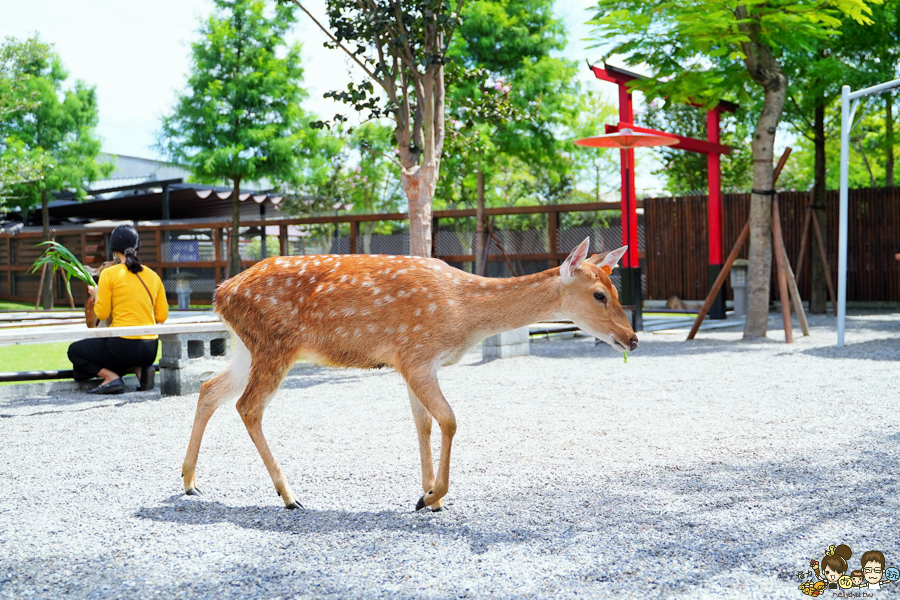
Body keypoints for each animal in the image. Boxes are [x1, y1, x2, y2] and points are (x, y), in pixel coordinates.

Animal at [181, 239, 632, 510]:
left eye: (617, 290)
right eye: (599, 294)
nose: (630, 338)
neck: (464, 313)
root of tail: (220, 294)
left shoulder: (412, 363)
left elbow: (423, 424)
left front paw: (429, 494)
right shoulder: (416, 355)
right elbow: (449, 420)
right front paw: (431, 497)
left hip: (247, 348)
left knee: (208, 389)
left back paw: (189, 482)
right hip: (275, 345)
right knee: (248, 406)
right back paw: (290, 496)